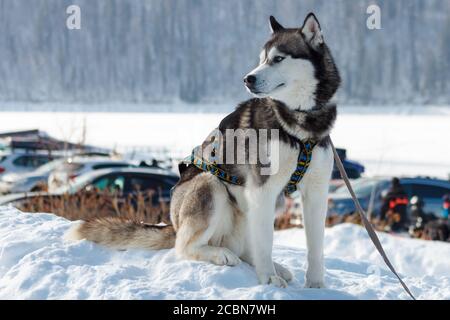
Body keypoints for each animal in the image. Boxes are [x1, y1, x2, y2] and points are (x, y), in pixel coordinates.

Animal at [68, 12, 340, 288]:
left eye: (278, 58)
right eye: (261, 59)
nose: (248, 78)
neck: (300, 127)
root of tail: (175, 224)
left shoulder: (316, 191)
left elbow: (315, 247)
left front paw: (315, 285)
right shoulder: (262, 190)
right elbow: (266, 243)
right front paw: (268, 279)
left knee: (247, 249)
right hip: (211, 185)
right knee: (185, 246)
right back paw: (221, 255)